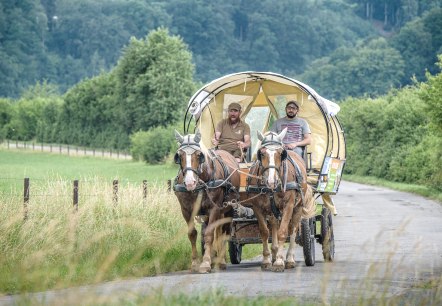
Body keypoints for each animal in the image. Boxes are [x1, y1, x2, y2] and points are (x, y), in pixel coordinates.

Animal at [174, 129, 240, 272]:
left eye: (199, 155)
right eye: (179, 156)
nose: (190, 182)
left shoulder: (214, 208)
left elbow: (209, 234)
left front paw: (205, 263)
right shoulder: (186, 210)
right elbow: (192, 234)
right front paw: (195, 263)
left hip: (229, 209)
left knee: (224, 232)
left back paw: (221, 261)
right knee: (217, 231)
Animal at [247, 128, 316, 272]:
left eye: (280, 154)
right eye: (262, 153)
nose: (271, 181)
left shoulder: (288, 206)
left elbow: (283, 232)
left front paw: (279, 262)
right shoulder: (257, 207)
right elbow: (265, 232)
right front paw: (267, 260)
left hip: (298, 207)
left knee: (293, 229)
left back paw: (289, 259)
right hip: (273, 210)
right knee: (274, 224)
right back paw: (274, 253)